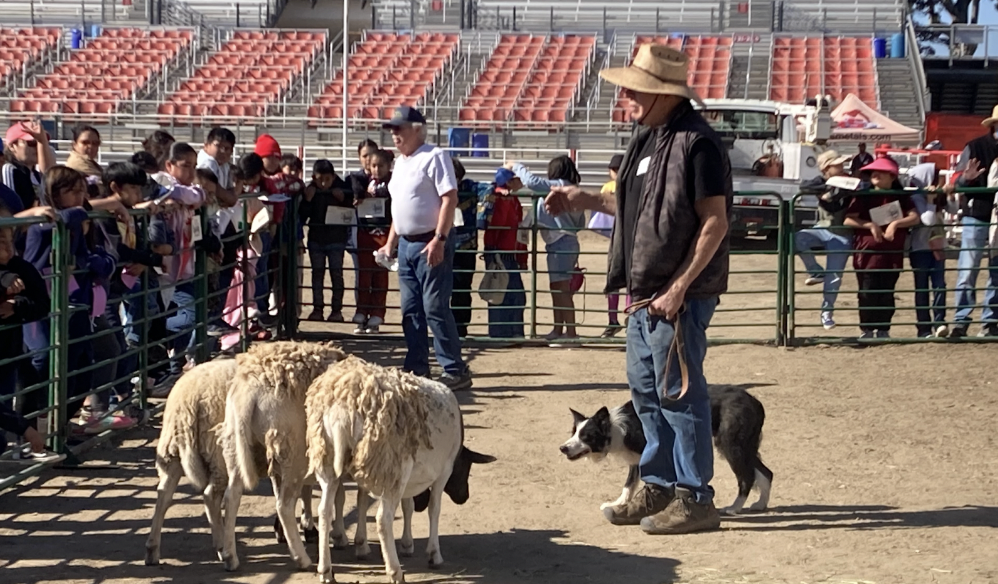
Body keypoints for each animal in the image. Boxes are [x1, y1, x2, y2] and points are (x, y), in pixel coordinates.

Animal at [217, 340, 346, 572]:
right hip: (293, 452)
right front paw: (339, 535)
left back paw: (230, 557)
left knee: (232, 497)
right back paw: (301, 558)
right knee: (284, 505)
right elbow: (339, 496)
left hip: (238, 444)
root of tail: (249, 391)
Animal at [302, 356, 494, 584]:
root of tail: (342, 411)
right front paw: (434, 554)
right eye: (466, 468)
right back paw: (395, 571)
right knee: (383, 520)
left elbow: (389, 503)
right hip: (392, 466)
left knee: (324, 511)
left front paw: (394, 544)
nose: (464, 497)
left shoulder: (379, 471)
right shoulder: (443, 472)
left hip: (330, 460)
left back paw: (326, 571)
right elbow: (434, 508)